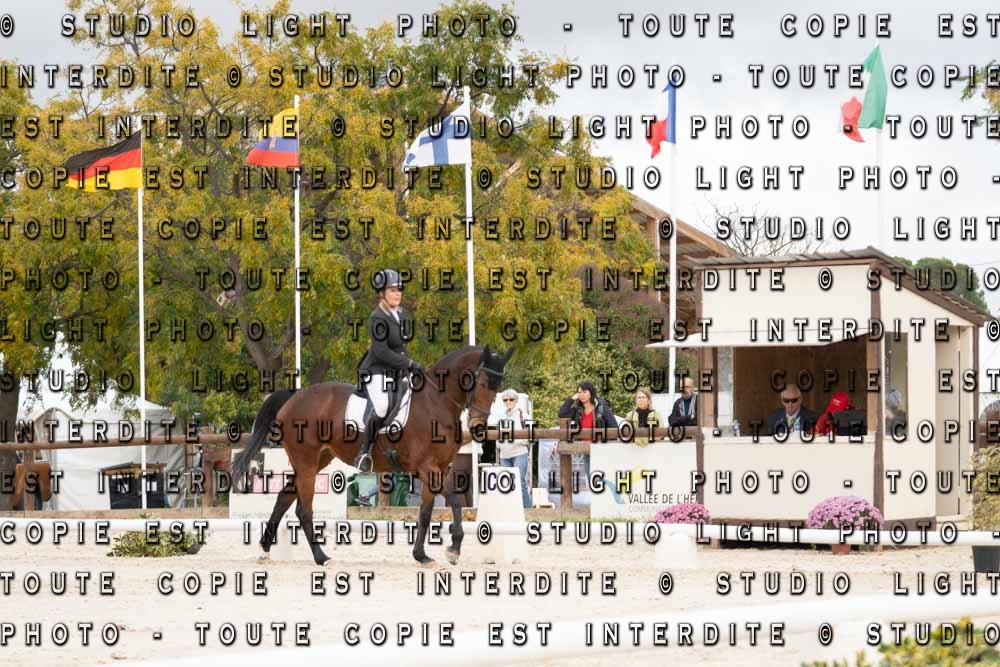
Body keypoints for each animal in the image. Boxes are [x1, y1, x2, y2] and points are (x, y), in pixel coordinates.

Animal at [231, 345, 513, 567]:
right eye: (483, 384)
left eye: (497, 389)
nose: (478, 427)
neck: (437, 402)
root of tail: (296, 396)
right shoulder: (424, 467)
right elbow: (454, 500)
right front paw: (453, 550)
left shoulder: (438, 469)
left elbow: (426, 512)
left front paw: (421, 555)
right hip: (306, 462)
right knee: (303, 509)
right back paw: (321, 557)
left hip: (317, 460)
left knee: (284, 498)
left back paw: (265, 550)